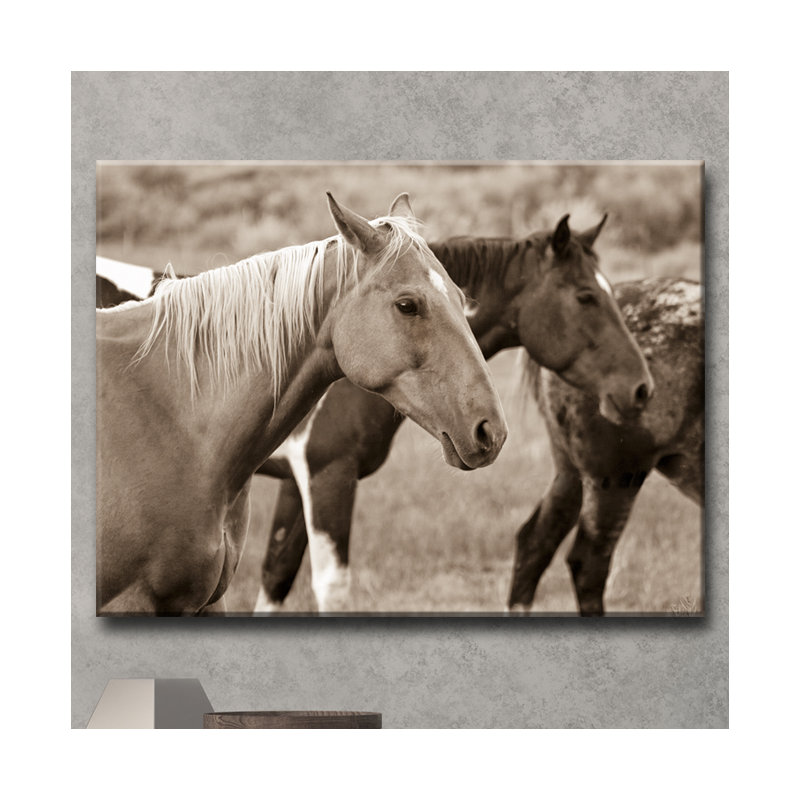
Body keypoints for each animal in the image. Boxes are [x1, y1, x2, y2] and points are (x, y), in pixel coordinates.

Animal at [254, 214, 655, 612]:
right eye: (586, 296)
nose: (641, 388)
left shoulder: (298, 480)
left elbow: (276, 574)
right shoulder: (328, 475)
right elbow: (329, 586)